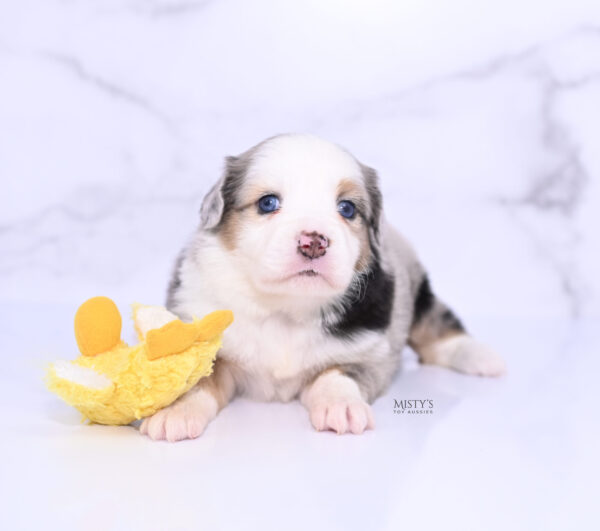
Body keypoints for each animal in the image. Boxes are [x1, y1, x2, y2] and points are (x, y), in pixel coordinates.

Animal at [138, 135, 504, 442]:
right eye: (268, 203)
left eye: (347, 209)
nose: (313, 242)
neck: (286, 308)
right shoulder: (208, 339)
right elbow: (197, 379)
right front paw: (176, 412)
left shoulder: (370, 352)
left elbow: (337, 374)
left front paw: (342, 407)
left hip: (415, 289)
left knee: (434, 323)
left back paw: (481, 357)